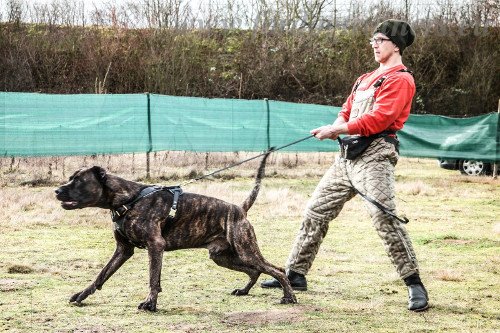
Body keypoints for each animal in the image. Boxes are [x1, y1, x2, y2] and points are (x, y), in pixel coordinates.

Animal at [54, 152, 296, 310]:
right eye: (71, 178)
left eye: (79, 180)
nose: (56, 190)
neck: (128, 200)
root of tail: (239, 209)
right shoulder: (123, 250)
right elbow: (101, 275)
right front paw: (82, 295)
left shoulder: (155, 246)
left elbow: (153, 278)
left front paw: (150, 303)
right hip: (222, 256)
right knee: (255, 271)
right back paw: (245, 290)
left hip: (245, 251)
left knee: (276, 270)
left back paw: (289, 296)